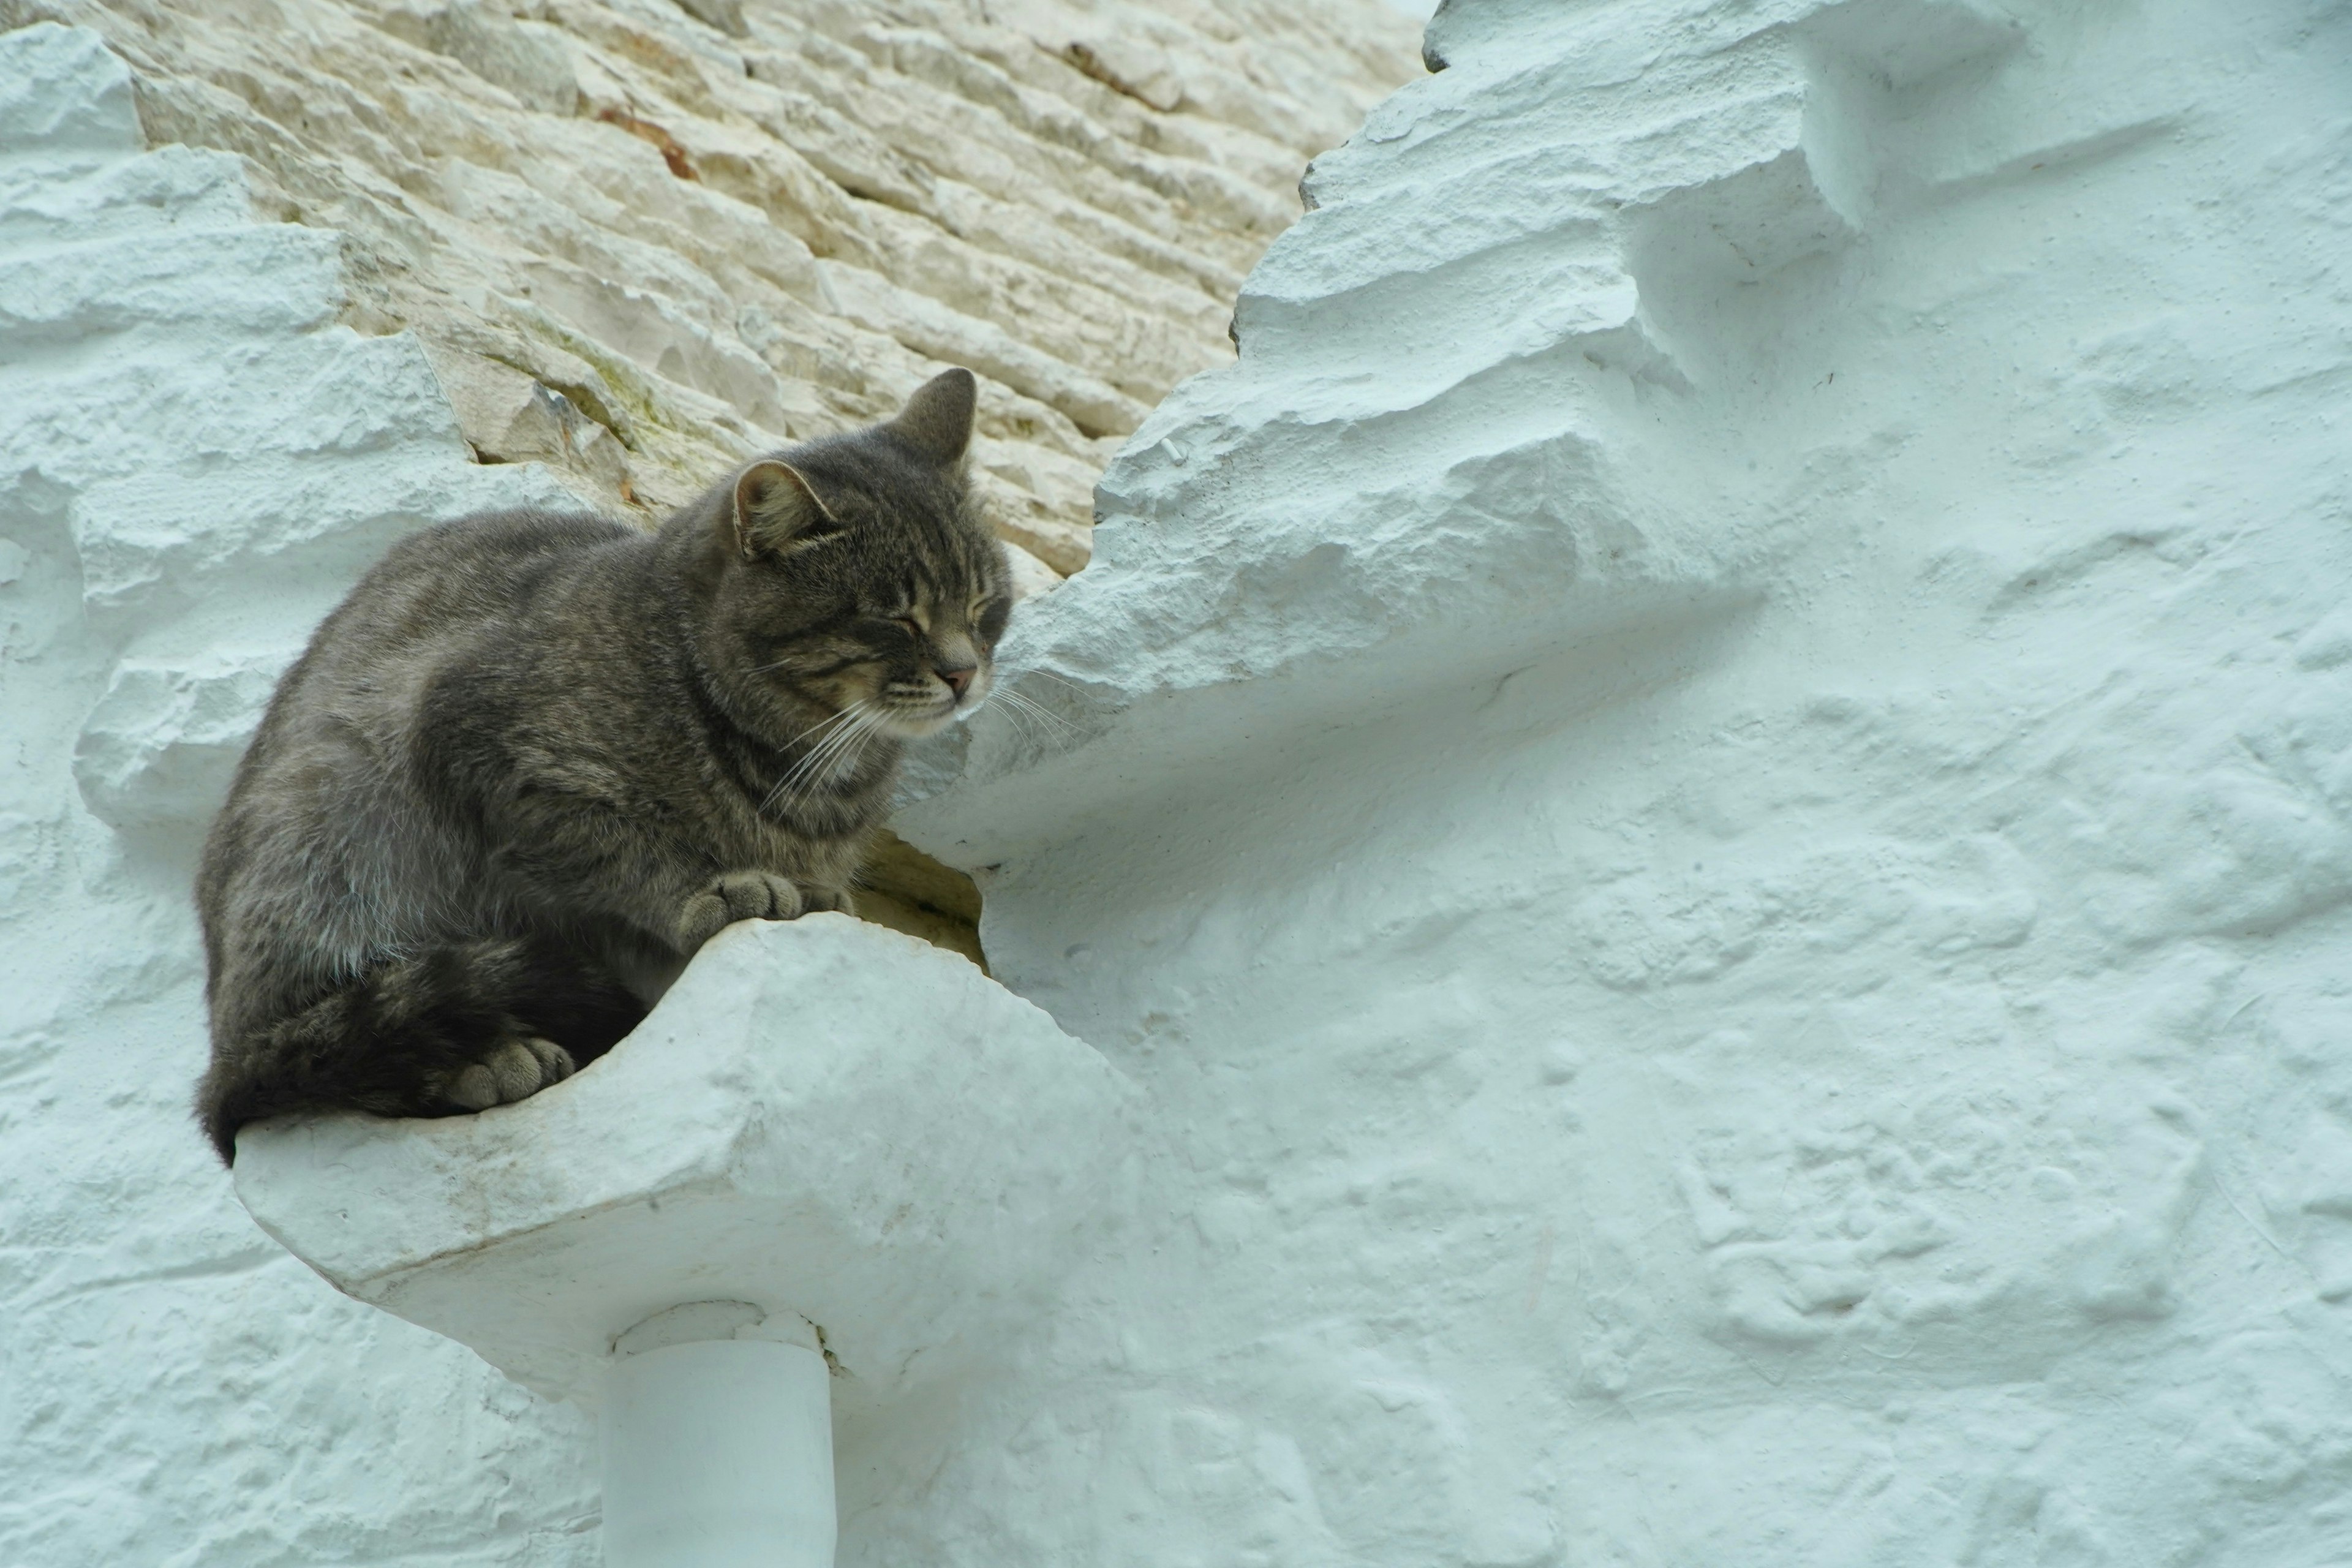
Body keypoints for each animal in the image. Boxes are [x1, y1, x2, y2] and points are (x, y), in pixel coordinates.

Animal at [197, 364, 1006, 1152]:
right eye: (895, 618)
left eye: (983, 605)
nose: (964, 673)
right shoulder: (481, 745)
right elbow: (620, 851)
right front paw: (707, 890)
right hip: (332, 841)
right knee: (317, 1062)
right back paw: (479, 1065)